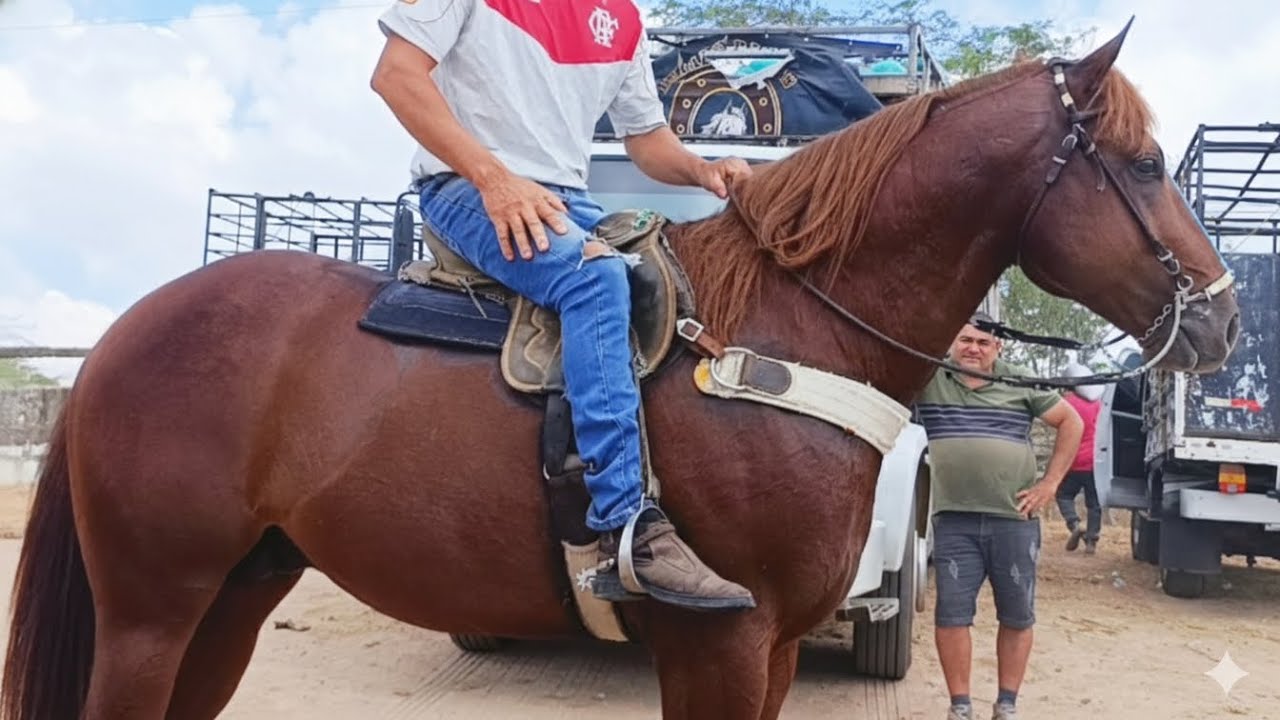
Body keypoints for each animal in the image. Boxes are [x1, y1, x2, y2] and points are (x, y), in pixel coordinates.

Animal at [2, 27, 1239, 720]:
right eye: (1137, 163)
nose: (1221, 317)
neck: (784, 335)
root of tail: (127, 334)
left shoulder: (771, 651)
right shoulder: (720, 644)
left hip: (232, 595)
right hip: (153, 605)